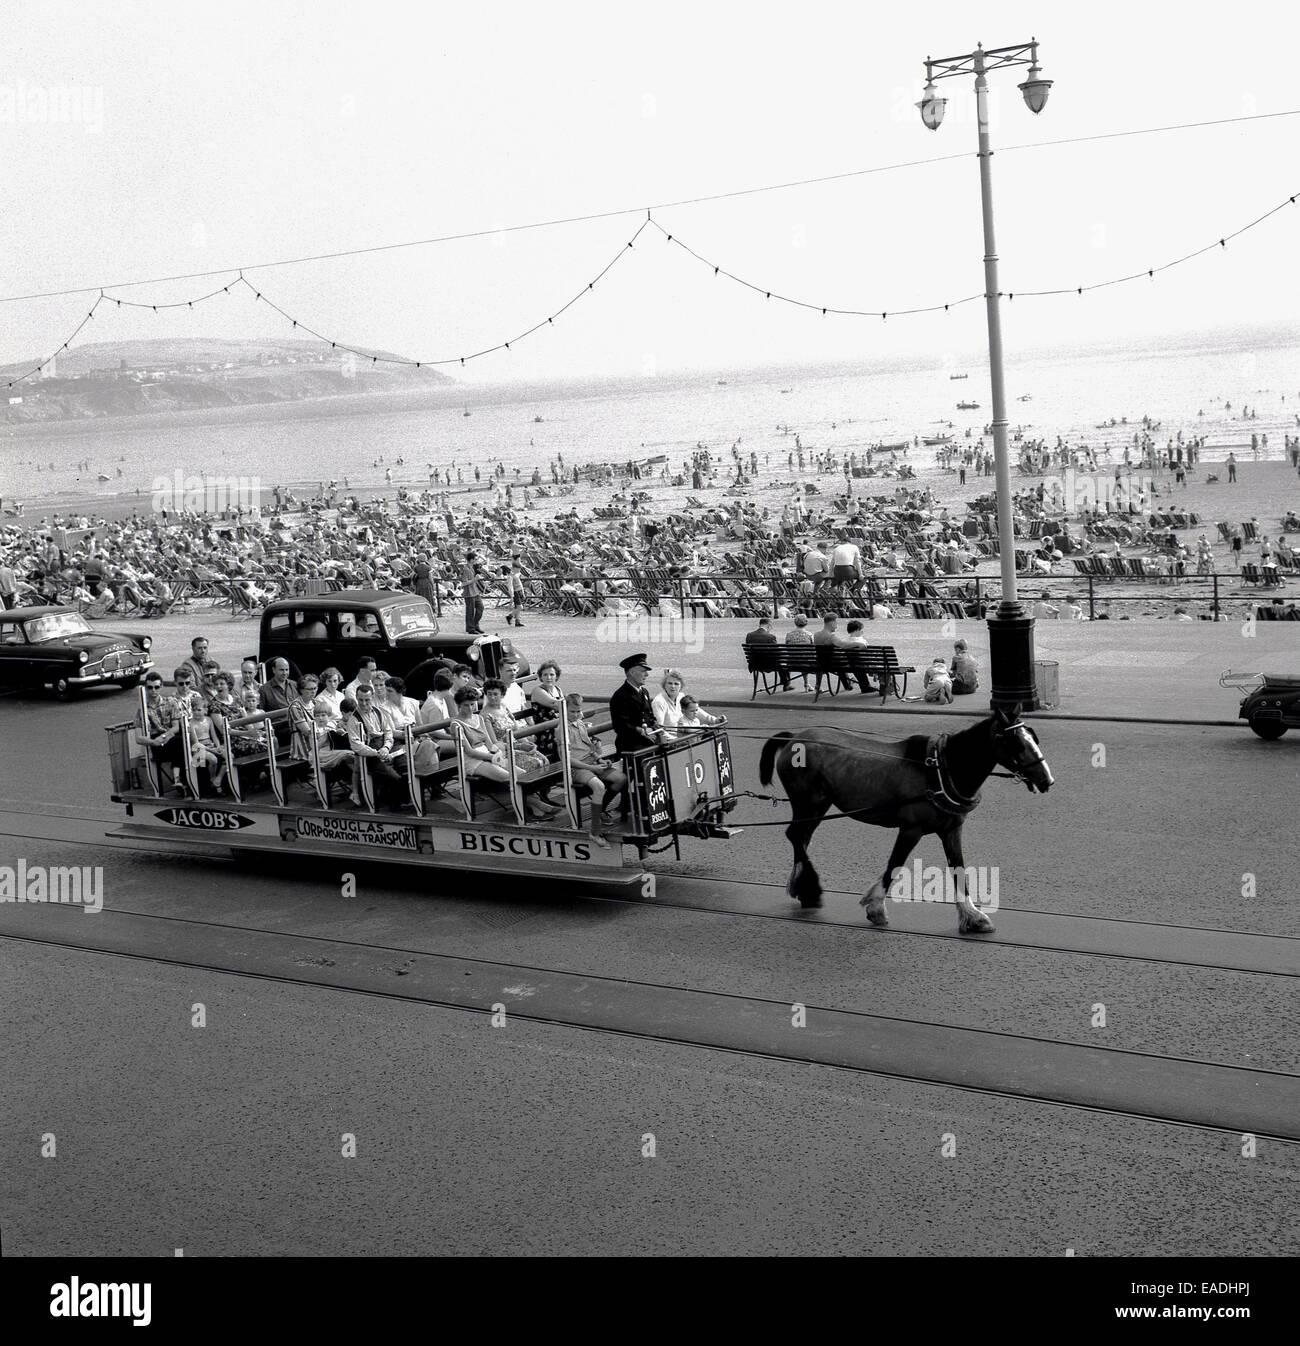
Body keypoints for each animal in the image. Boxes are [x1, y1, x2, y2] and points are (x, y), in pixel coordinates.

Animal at [759, 705, 1055, 936]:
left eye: (1033, 737)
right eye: (1016, 742)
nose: (1046, 780)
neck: (940, 769)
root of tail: (794, 737)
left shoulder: (952, 829)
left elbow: (958, 868)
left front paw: (972, 916)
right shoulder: (911, 829)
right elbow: (895, 864)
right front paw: (876, 907)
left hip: (817, 806)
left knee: (802, 837)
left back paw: (801, 886)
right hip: (808, 802)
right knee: (796, 836)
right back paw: (810, 889)